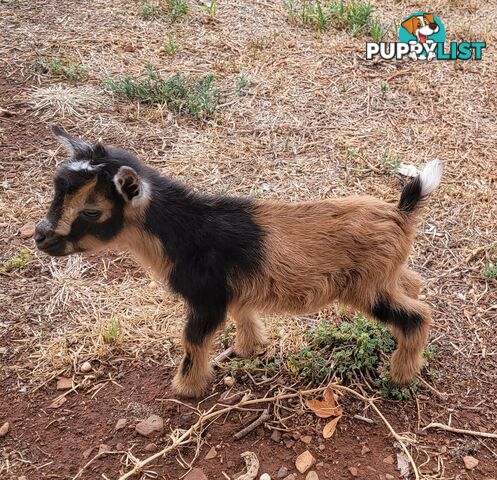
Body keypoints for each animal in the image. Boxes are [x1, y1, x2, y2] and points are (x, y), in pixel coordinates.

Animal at [36, 126, 444, 398]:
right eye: (56, 191)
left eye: (91, 211)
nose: (41, 236)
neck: (186, 230)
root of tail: (400, 212)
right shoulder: (232, 288)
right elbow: (242, 312)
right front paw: (250, 347)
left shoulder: (206, 298)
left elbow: (192, 340)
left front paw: (186, 387)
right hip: (386, 275)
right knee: (414, 283)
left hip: (367, 286)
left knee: (418, 317)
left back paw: (401, 375)